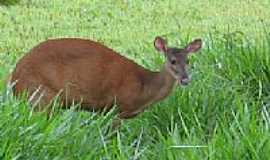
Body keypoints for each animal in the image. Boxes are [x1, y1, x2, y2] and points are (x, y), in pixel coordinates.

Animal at [10, 36, 200, 129]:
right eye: (172, 61)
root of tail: (13, 81)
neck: (144, 87)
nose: (185, 79)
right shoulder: (118, 108)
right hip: (41, 96)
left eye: (188, 61)